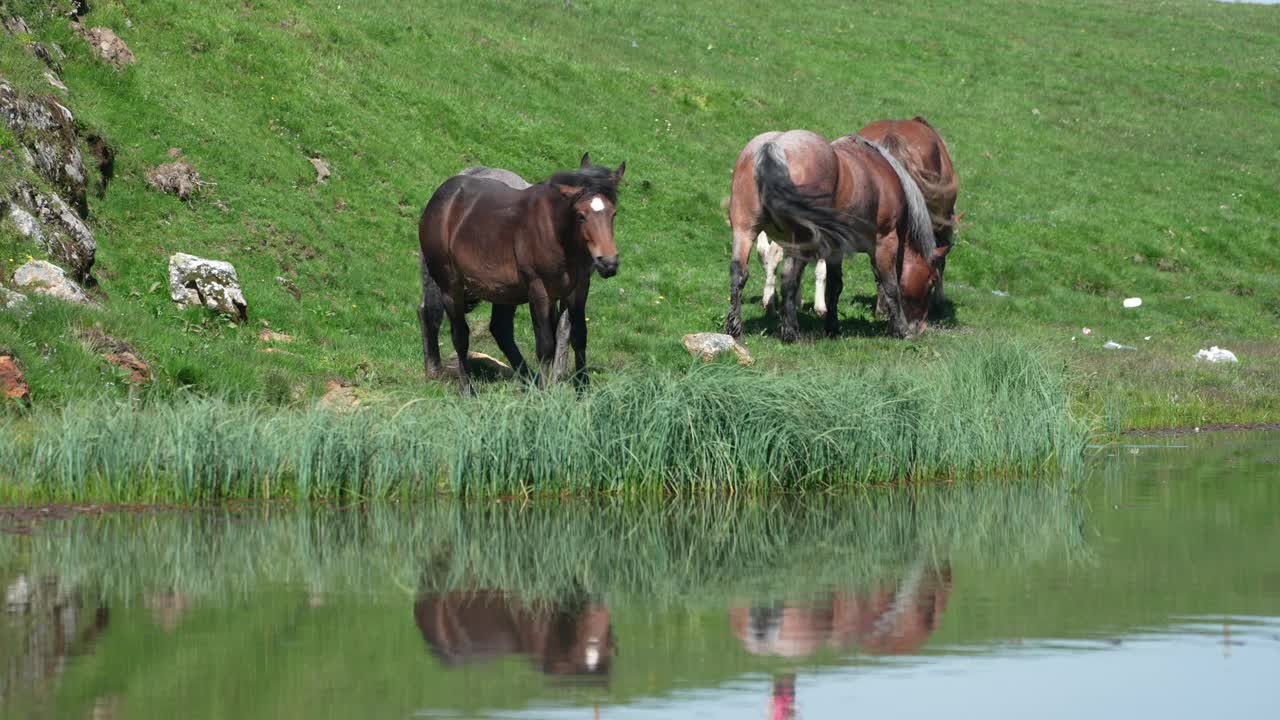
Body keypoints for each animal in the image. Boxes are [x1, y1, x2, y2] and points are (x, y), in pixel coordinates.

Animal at [417, 153, 622, 394]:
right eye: (580, 215)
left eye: (613, 213)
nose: (608, 262)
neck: (554, 230)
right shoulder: (540, 291)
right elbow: (548, 342)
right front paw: (548, 388)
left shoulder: (578, 288)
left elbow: (577, 335)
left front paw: (582, 390)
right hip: (450, 285)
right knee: (456, 332)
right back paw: (465, 388)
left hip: (499, 291)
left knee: (484, 325)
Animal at [727, 128, 947, 338]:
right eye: (931, 281)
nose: (920, 327)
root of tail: (773, 146)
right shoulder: (886, 242)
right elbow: (891, 285)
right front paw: (901, 330)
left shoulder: (835, 250)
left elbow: (834, 287)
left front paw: (832, 328)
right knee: (789, 279)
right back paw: (791, 332)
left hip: (745, 232)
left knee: (739, 273)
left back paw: (734, 328)